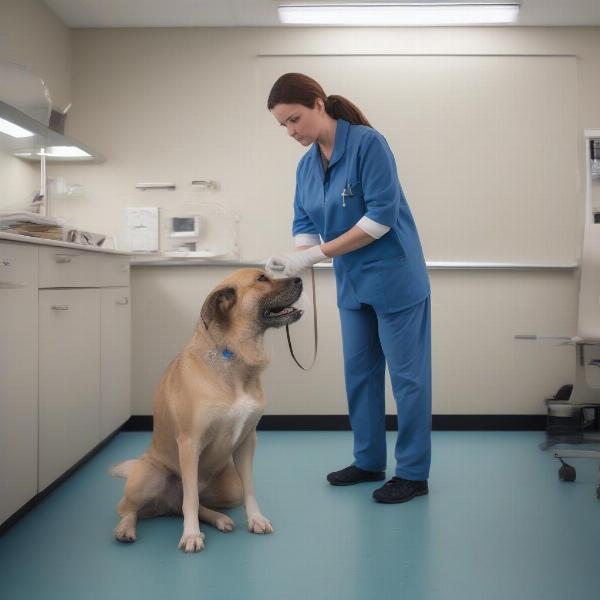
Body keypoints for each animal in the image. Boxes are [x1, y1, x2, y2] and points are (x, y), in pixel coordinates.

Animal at [110, 268, 302, 552]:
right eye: (261, 279)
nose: (300, 279)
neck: (233, 355)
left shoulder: (247, 441)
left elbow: (249, 489)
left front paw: (255, 519)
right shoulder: (190, 443)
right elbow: (190, 500)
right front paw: (191, 535)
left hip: (229, 486)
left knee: (185, 505)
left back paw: (220, 519)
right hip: (148, 477)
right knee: (130, 508)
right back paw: (126, 528)